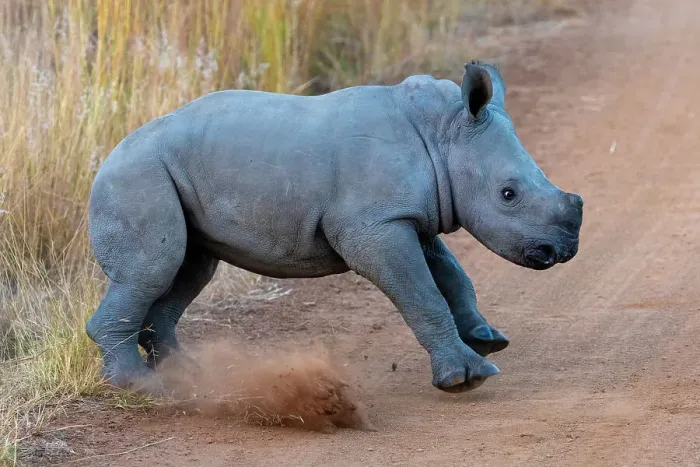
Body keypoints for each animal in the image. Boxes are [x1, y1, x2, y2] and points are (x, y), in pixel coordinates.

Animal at [86, 60, 583, 394]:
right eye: (508, 194)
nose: (561, 251)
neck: (443, 133)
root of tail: (106, 158)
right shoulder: (375, 227)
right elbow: (424, 294)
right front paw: (467, 378)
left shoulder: (407, 216)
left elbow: (452, 276)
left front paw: (487, 340)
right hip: (136, 176)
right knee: (153, 269)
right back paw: (141, 386)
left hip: (167, 175)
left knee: (189, 269)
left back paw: (183, 373)